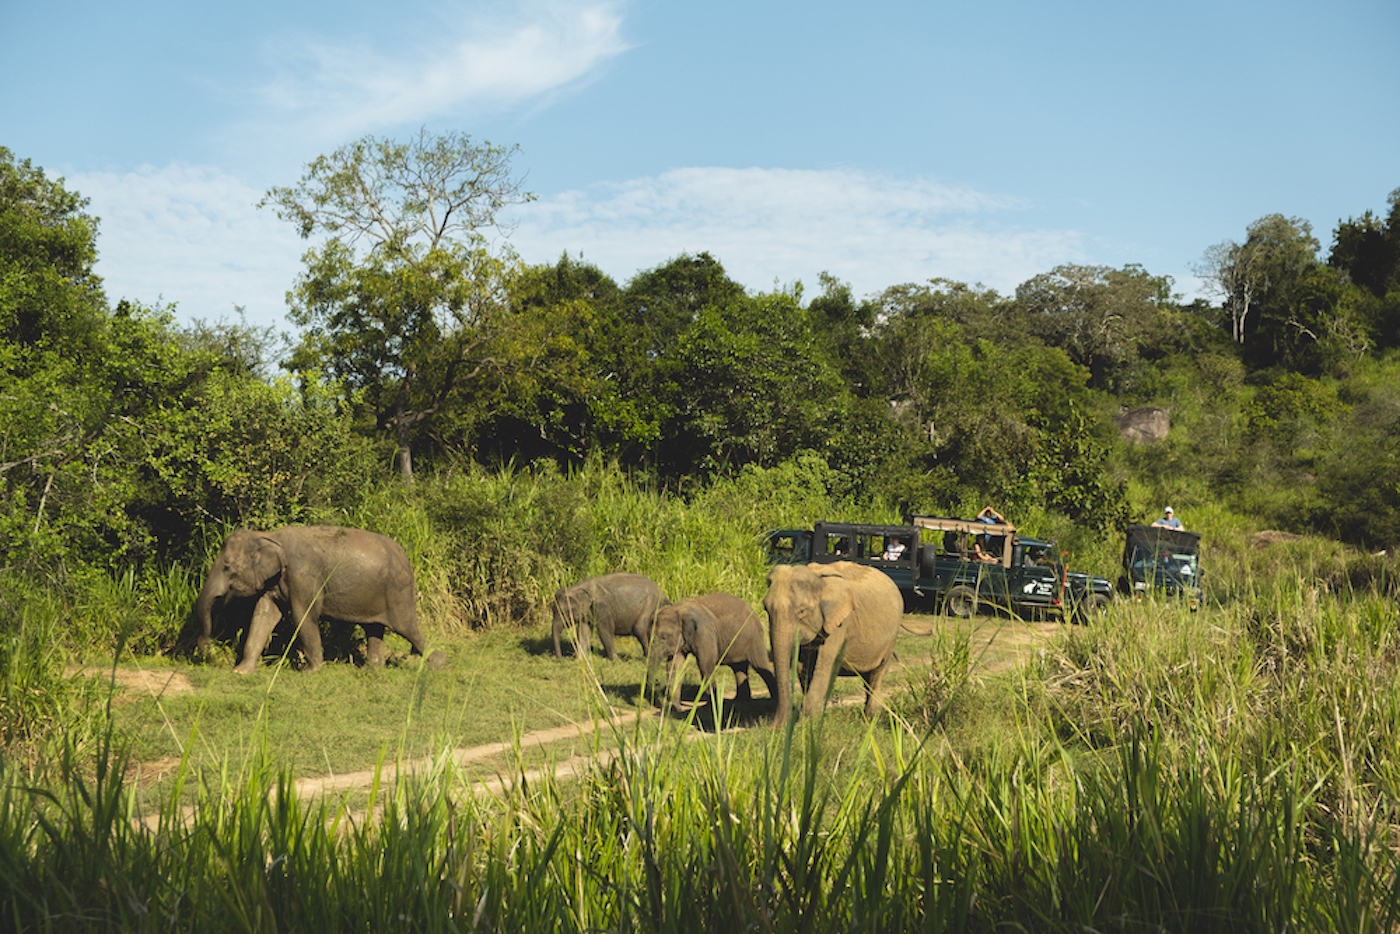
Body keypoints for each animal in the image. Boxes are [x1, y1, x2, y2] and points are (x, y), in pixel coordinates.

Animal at [194, 526, 445, 672]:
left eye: (227, 567)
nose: (207, 650)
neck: (266, 535)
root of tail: (406, 556)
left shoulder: (303, 575)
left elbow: (303, 615)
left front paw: (310, 672)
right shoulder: (275, 580)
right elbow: (264, 613)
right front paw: (241, 671)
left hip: (398, 591)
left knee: (407, 627)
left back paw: (437, 665)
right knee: (374, 628)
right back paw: (371, 670)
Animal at [644, 590, 778, 708]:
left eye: (663, 637)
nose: (657, 680)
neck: (678, 610)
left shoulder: (705, 632)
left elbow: (705, 663)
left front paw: (711, 707)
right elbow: (675, 666)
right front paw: (674, 708)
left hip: (755, 638)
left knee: (760, 665)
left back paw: (773, 699)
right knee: (738, 668)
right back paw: (741, 702)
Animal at [761, 560, 901, 728]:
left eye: (801, 611)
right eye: (766, 608)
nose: (772, 728)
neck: (818, 579)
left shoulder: (840, 622)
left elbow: (824, 666)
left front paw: (806, 725)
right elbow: (803, 670)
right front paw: (812, 720)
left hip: (892, 635)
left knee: (877, 673)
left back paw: (870, 720)